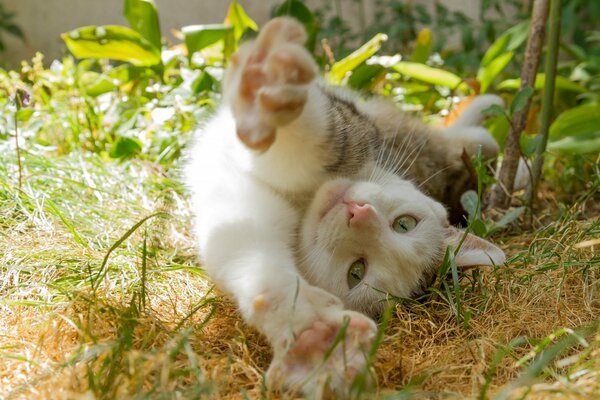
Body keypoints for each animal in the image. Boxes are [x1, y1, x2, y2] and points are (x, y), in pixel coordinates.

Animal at [186, 16, 506, 396]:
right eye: (405, 223)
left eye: (357, 271)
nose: (358, 213)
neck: (306, 200)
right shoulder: (360, 135)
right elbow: (327, 139)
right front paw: (269, 90)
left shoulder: (247, 219)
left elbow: (253, 263)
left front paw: (313, 338)